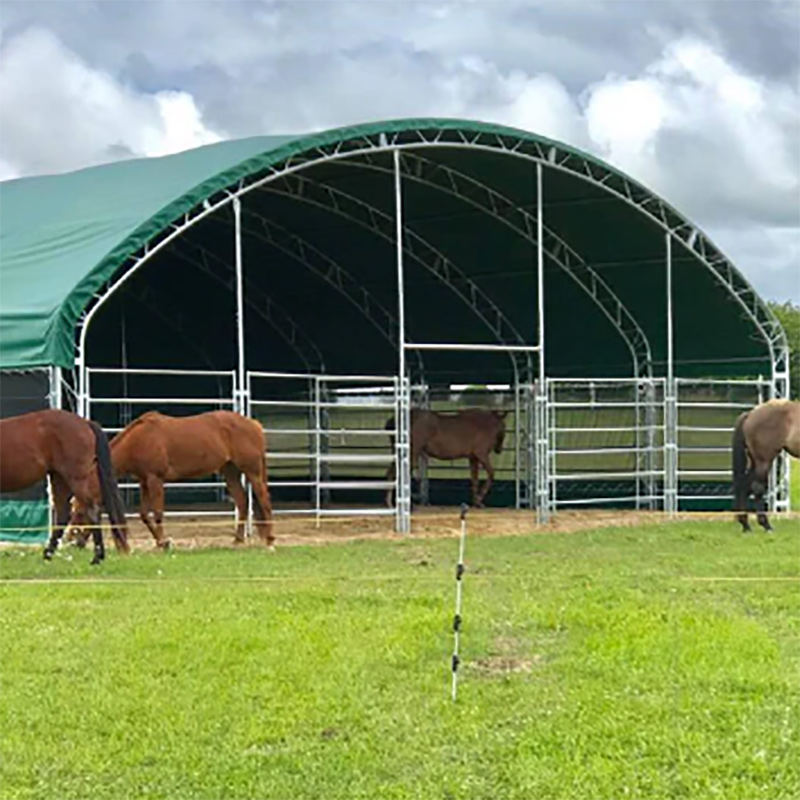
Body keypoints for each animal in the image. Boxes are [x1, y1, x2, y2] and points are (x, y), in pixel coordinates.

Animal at [0, 410, 128, 564]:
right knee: (62, 514)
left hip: (75, 479)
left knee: (91, 510)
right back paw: (48, 554)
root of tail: (85, 423)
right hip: (59, 478)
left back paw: (97, 557)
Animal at [69, 412, 276, 552]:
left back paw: (270, 541)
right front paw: (161, 542)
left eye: (80, 513)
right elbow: (144, 514)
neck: (138, 441)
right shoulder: (144, 481)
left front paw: (164, 542)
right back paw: (238, 540)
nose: (75, 541)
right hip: (230, 472)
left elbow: (158, 513)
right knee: (242, 502)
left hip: (252, 471)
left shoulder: (155, 480)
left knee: (264, 500)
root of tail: (254, 424)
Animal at [732, 398, 800, 532]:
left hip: (755, 462)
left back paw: (746, 525)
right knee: (757, 488)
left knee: (745, 486)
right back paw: (766, 525)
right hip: (764, 461)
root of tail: (750, 414)